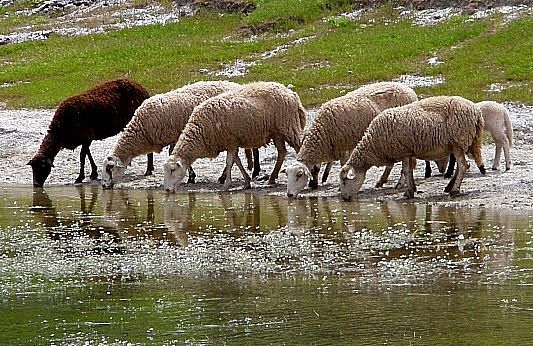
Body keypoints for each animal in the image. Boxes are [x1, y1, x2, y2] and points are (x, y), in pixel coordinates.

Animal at [101, 79, 254, 188]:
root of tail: (236, 85)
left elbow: (173, 153)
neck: (142, 129)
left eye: (110, 168)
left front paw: (191, 176)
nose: (103, 185)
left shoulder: (175, 134)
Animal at [162, 82, 306, 193]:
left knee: (299, 147)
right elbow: (237, 161)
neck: (200, 131)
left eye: (172, 170)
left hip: (288, 126)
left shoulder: (230, 142)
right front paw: (247, 182)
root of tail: (291, 93)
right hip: (277, 132)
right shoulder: (232, 142)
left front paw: (226, 184)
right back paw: (271, 178)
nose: (167, 190)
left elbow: (229, 162)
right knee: (282, 152)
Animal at [284, 81, 418, 197]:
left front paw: (340, 185)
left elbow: (343, 165)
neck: (322, 131)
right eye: (287, 175)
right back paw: (382, 181)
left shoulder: (343, 147)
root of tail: (409, 90)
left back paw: (399, 183)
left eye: (299, 175)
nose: (289, 195)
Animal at [340, 96, 486, 201]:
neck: (373, 144)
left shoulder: (403, 150)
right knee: (462, 166)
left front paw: (408, 192)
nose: (345, 198)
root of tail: (477, 113)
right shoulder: (409, 152)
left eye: (344, 181)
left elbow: (405, 171)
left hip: (458, 141)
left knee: (463, 166)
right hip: (458, 144)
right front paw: (412, 189)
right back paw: (449, 187)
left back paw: (454, 190)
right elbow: (409, 171)